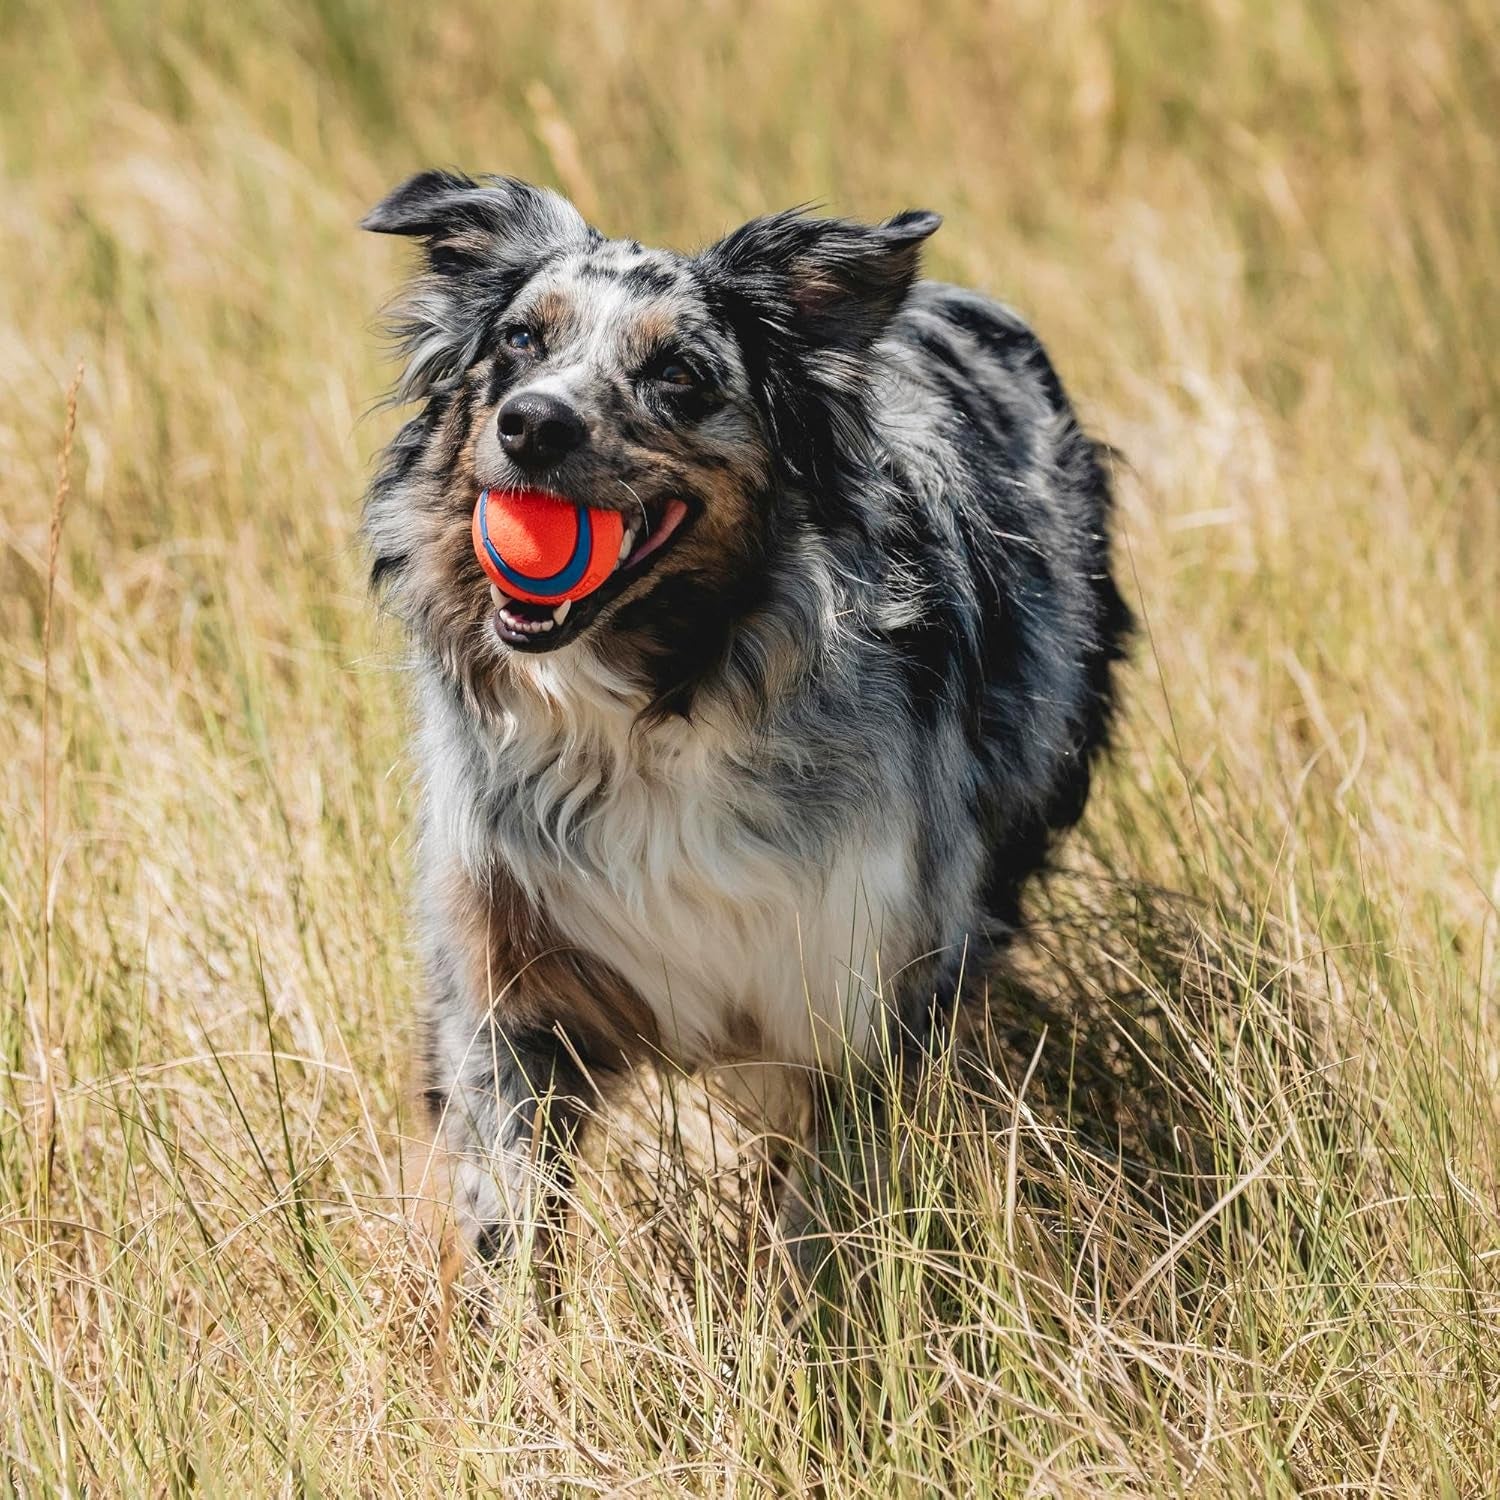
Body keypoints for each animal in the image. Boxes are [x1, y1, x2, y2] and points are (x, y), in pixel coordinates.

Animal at [363, 170, 1128, 1260]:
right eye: (518, 339)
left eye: (679, 374)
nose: (532, 424)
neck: (655, 712)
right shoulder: (504, 990)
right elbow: (507, 1220)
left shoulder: (856, 999)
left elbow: (814, 1233)